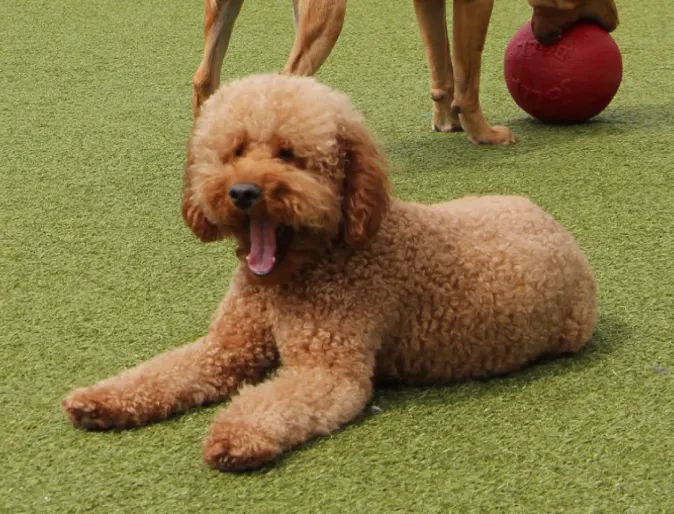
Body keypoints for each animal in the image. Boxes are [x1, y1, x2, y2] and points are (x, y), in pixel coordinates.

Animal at [63, 74, 596, 470]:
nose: (243, 191)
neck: (288, 280)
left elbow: (272, 402)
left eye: (289, 154)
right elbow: (163, 371)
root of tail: (556, 225)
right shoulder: (226, 347)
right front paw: (101, 399)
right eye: (236, 150)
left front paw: (236, 436)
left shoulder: (329, 370)